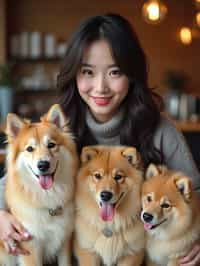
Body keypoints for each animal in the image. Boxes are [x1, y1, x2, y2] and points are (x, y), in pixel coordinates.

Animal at [0, 104, 78, 266]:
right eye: (30, 149)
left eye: (51, 145)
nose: (43, 165)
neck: (48, 198)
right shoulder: (30, 248)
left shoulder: (64, 240)